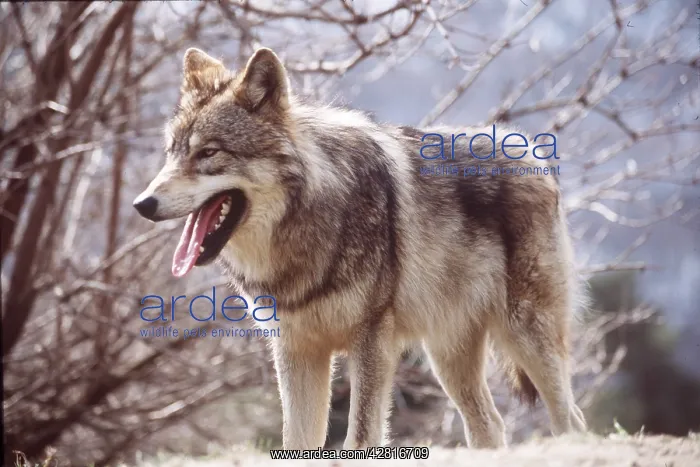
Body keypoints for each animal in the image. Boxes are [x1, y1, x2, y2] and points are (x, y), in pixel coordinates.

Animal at [133, 47, 587, 450]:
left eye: (208, 152)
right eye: (171, 153)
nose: (142, 204)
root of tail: (530, 150)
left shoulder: (371, 341)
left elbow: (362, 436)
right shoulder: (296, 350)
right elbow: (298, 440)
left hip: (525, 333)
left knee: (571, 419)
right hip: (447, 356)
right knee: (489, 426)